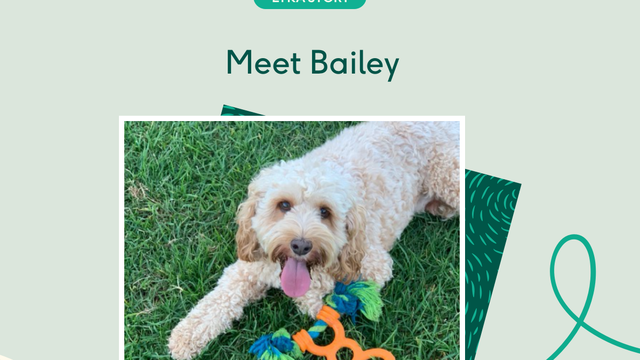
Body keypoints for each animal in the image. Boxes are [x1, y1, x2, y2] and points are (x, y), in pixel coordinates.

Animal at [169, 121, 460, 360]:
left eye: (325, 212)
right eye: (283, 205)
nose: (301, 245)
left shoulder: (375, 262)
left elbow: (338, 290)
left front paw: (315, 300)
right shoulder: (250, 267)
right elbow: (218, 300)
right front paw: (185, 337)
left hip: (448, 175)